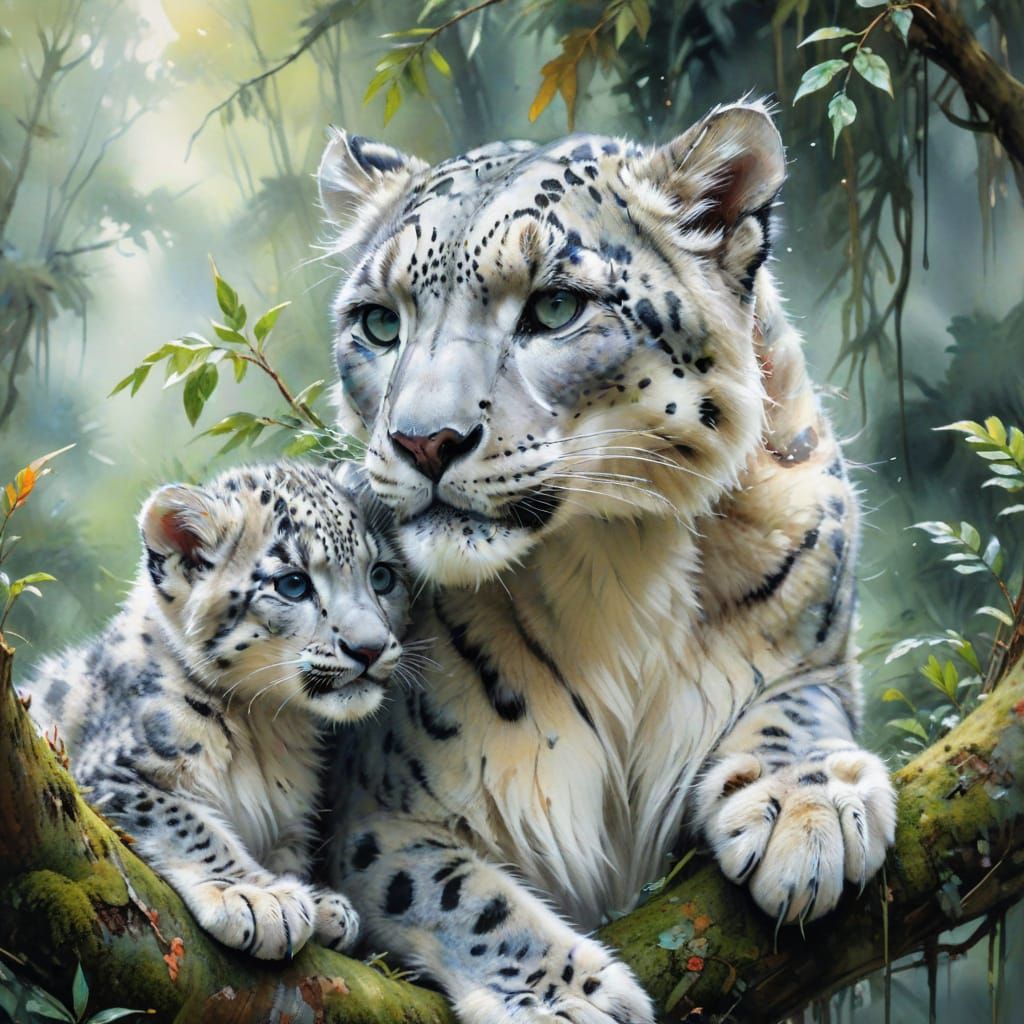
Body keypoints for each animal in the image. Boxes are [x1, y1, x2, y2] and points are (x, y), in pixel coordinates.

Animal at [25, 459, 410, 960]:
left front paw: (324, 906)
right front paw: (262, 898)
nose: (370, 648)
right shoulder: (107, 773)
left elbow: (287, 851)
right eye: (292, 583)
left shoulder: (289, 816)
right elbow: (186, 822)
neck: (268, 727)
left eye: (382, 576)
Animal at [316, 99, 898, 1022]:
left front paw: (807, 810)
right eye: (379, 322)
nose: (424, 441)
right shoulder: (380, 815)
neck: (615, 557)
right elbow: (454, 894)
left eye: (555, 307)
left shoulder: (821, 650)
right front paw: (566, 998)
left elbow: (799, 708)